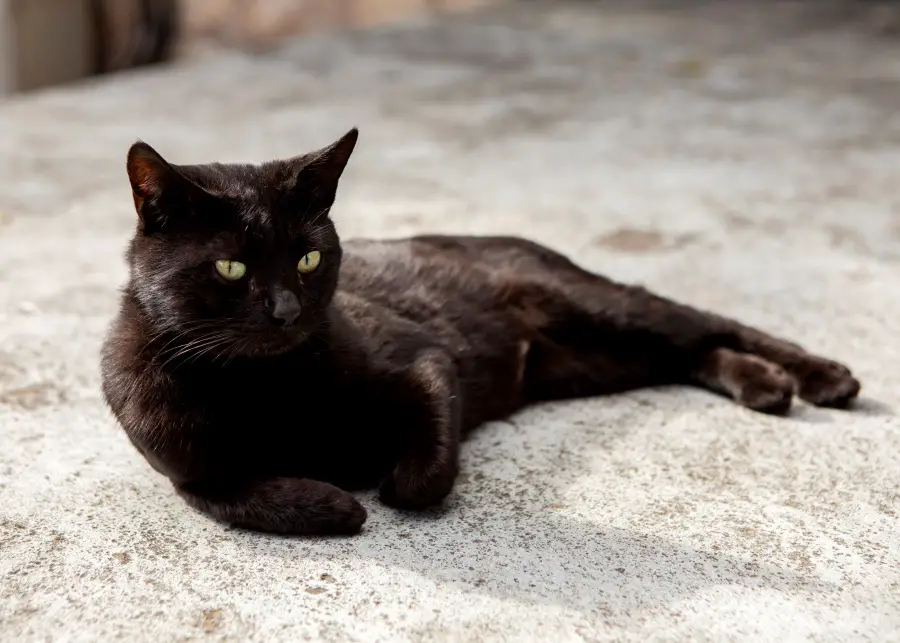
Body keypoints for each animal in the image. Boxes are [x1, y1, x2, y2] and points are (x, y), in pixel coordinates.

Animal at [102, 128, 860, 536]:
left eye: (308, 259)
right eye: (231, 266)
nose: (287, 311)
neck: (261, 386)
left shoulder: (424, 360)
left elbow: (423, 475)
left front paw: (376, 480)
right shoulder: (186, 469)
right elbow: (237, 493)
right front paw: (332, 500)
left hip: (604, 309)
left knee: (711, 324)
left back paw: (820, 376)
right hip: (600, 361)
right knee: (692, 353)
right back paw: (765, 385)